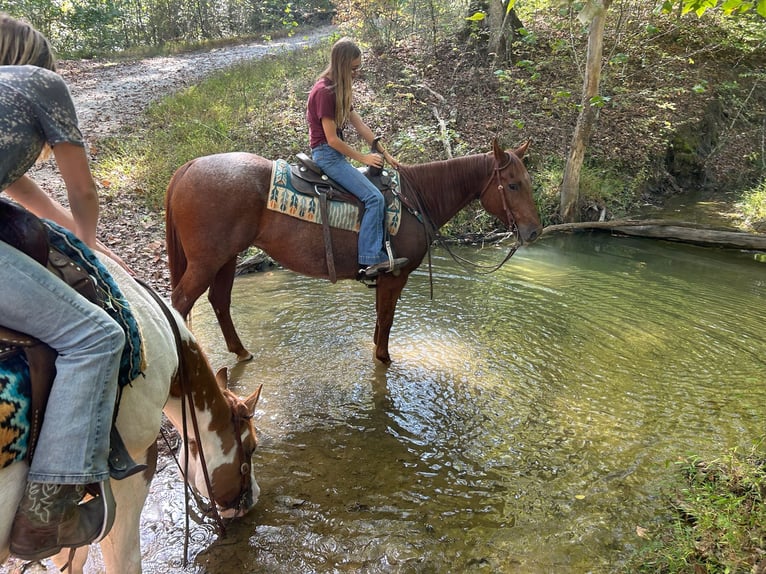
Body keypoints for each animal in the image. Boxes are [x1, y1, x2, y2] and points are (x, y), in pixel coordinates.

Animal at [166, 138, 544, 364]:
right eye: (512, 185)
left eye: (527, 181)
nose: (534, 231)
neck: (416, 199)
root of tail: (189, 166)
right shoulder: (394, 276)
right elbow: (386, 320)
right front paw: (384, 359)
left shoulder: (386, 278)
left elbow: (380, 321)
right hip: (207, 260)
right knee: (182, 302)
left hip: (226, 258)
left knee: (219, 301)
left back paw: (241, 352)